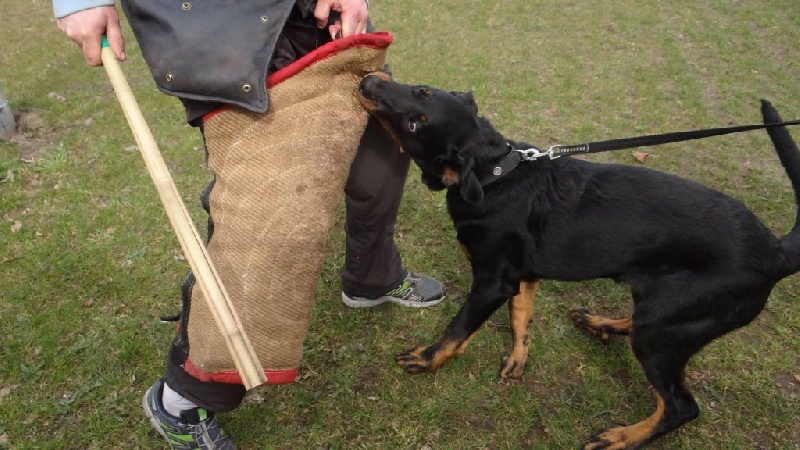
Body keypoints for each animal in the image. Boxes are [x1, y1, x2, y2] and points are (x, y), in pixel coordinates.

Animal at [360, 72, 800, 448]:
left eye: (416, 122)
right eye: (420, 88)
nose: (367, 81)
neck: (494, 175)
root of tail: (776, 251)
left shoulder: (492, 282)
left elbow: (458, 328)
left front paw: (426, 358)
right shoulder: (523, 275)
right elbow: (521, 318)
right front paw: (517, 361)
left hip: (664, 330)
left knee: (680, 407)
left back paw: (621, 438)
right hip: (661, 310)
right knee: (638, 325)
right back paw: (599, 323)